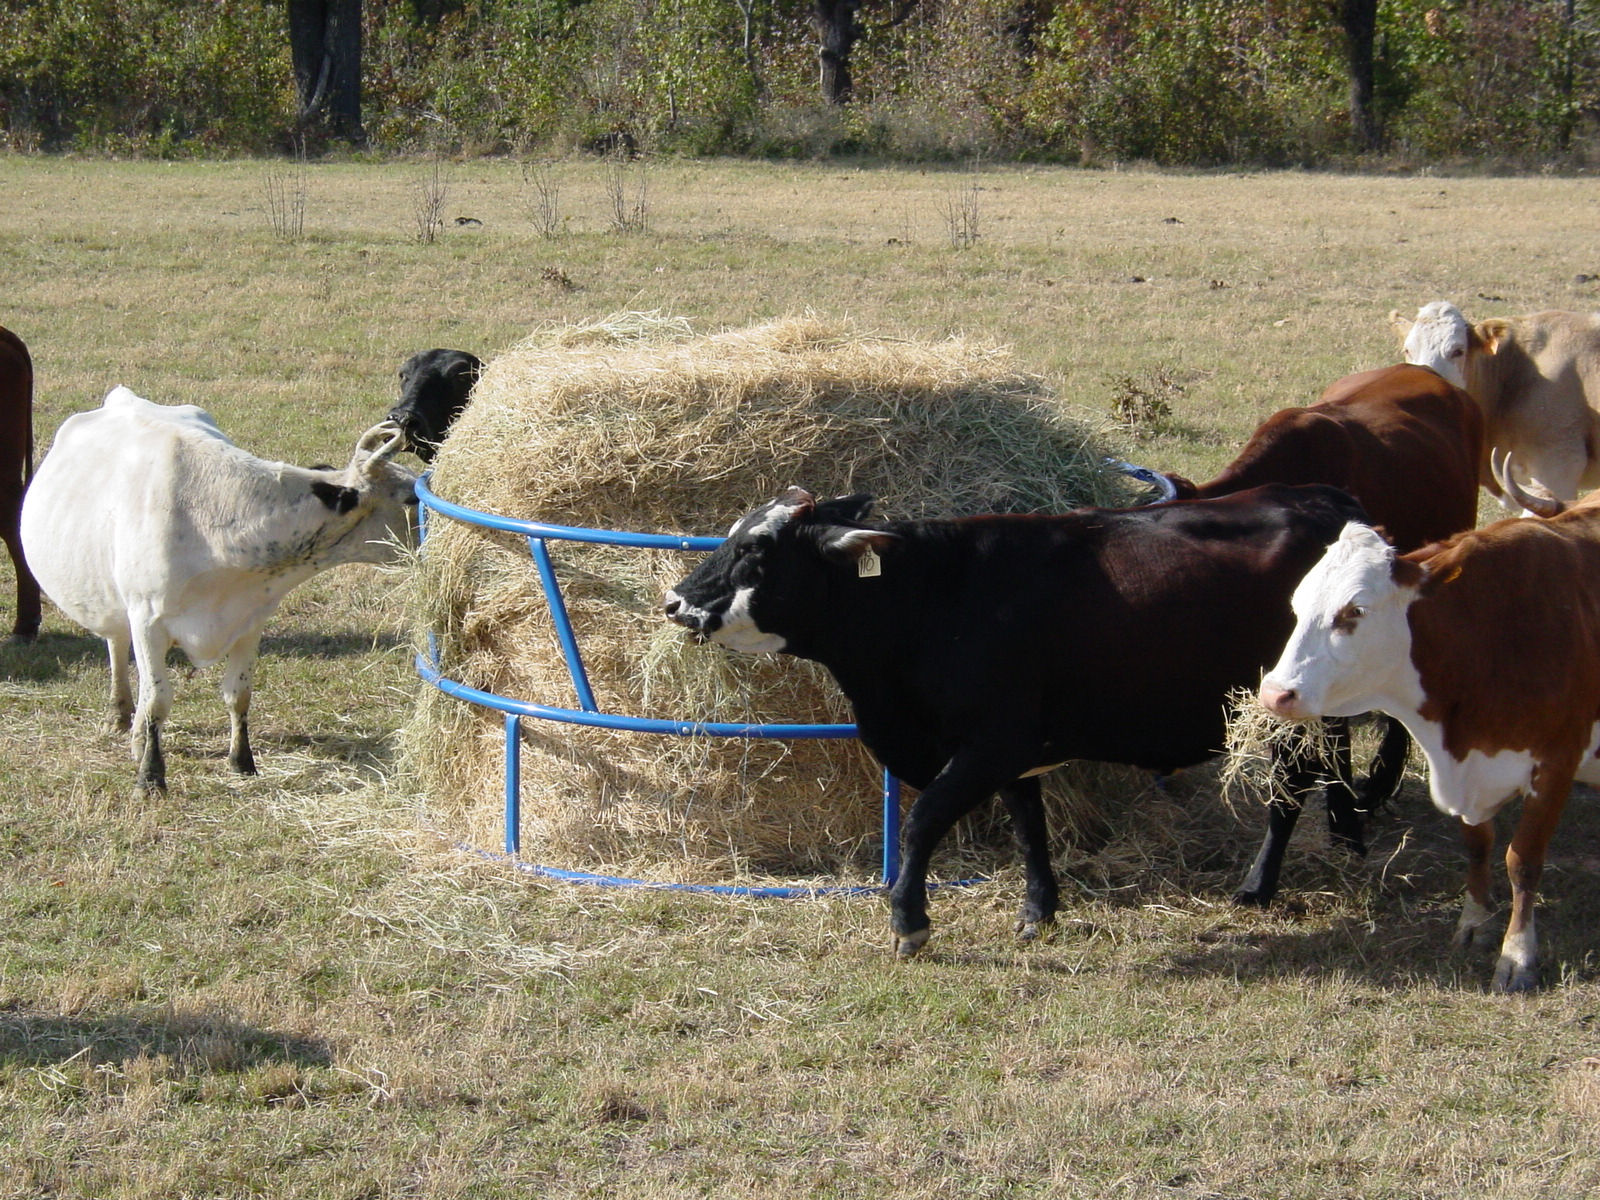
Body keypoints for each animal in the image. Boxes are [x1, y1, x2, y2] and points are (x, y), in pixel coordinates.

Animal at [20, 387, 418, 794]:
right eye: (411, 499)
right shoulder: (147, 618)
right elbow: (158, 700)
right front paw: (150, 777)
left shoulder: (251, 617)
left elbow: (237, 695)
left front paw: (242, 762)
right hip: (116, 602)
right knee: (118, 646)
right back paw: (120, 715)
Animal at [663, 483, 1370, 957]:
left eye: (756, 547)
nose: (674, 601)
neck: (933, 600)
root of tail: (1318, 498)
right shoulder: (1014, 751)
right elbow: (1030, 827)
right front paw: (1038, 911)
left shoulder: (992, 743)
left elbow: (923, 820)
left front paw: (910, 924)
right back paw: (1349, 849)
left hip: (1290, 713)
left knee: (1294, 785)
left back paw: (1258, 887)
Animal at [1259, 495, 1600, 992]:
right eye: (1298, 605)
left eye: (1354, 612)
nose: (1274, 693)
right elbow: (1478, 844)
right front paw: (1474, 922)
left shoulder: (1556, 763)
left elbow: (1523, 861)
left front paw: (1518, 954)